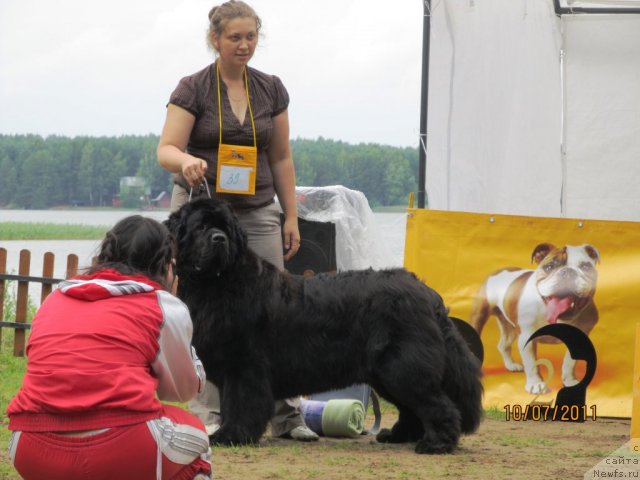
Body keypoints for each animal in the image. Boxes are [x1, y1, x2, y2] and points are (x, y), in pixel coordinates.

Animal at [168, 197, 482, 452]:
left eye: (225, 228)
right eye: (200, 227)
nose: (219, 239)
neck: (218, 283)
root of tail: (425, 290)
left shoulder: (244, 367)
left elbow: (240, 406)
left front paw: (231, 436)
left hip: (403, 366)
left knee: (437, 404)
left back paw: (436, 444)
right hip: (386, 373)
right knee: (411, 409)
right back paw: (398, 435)